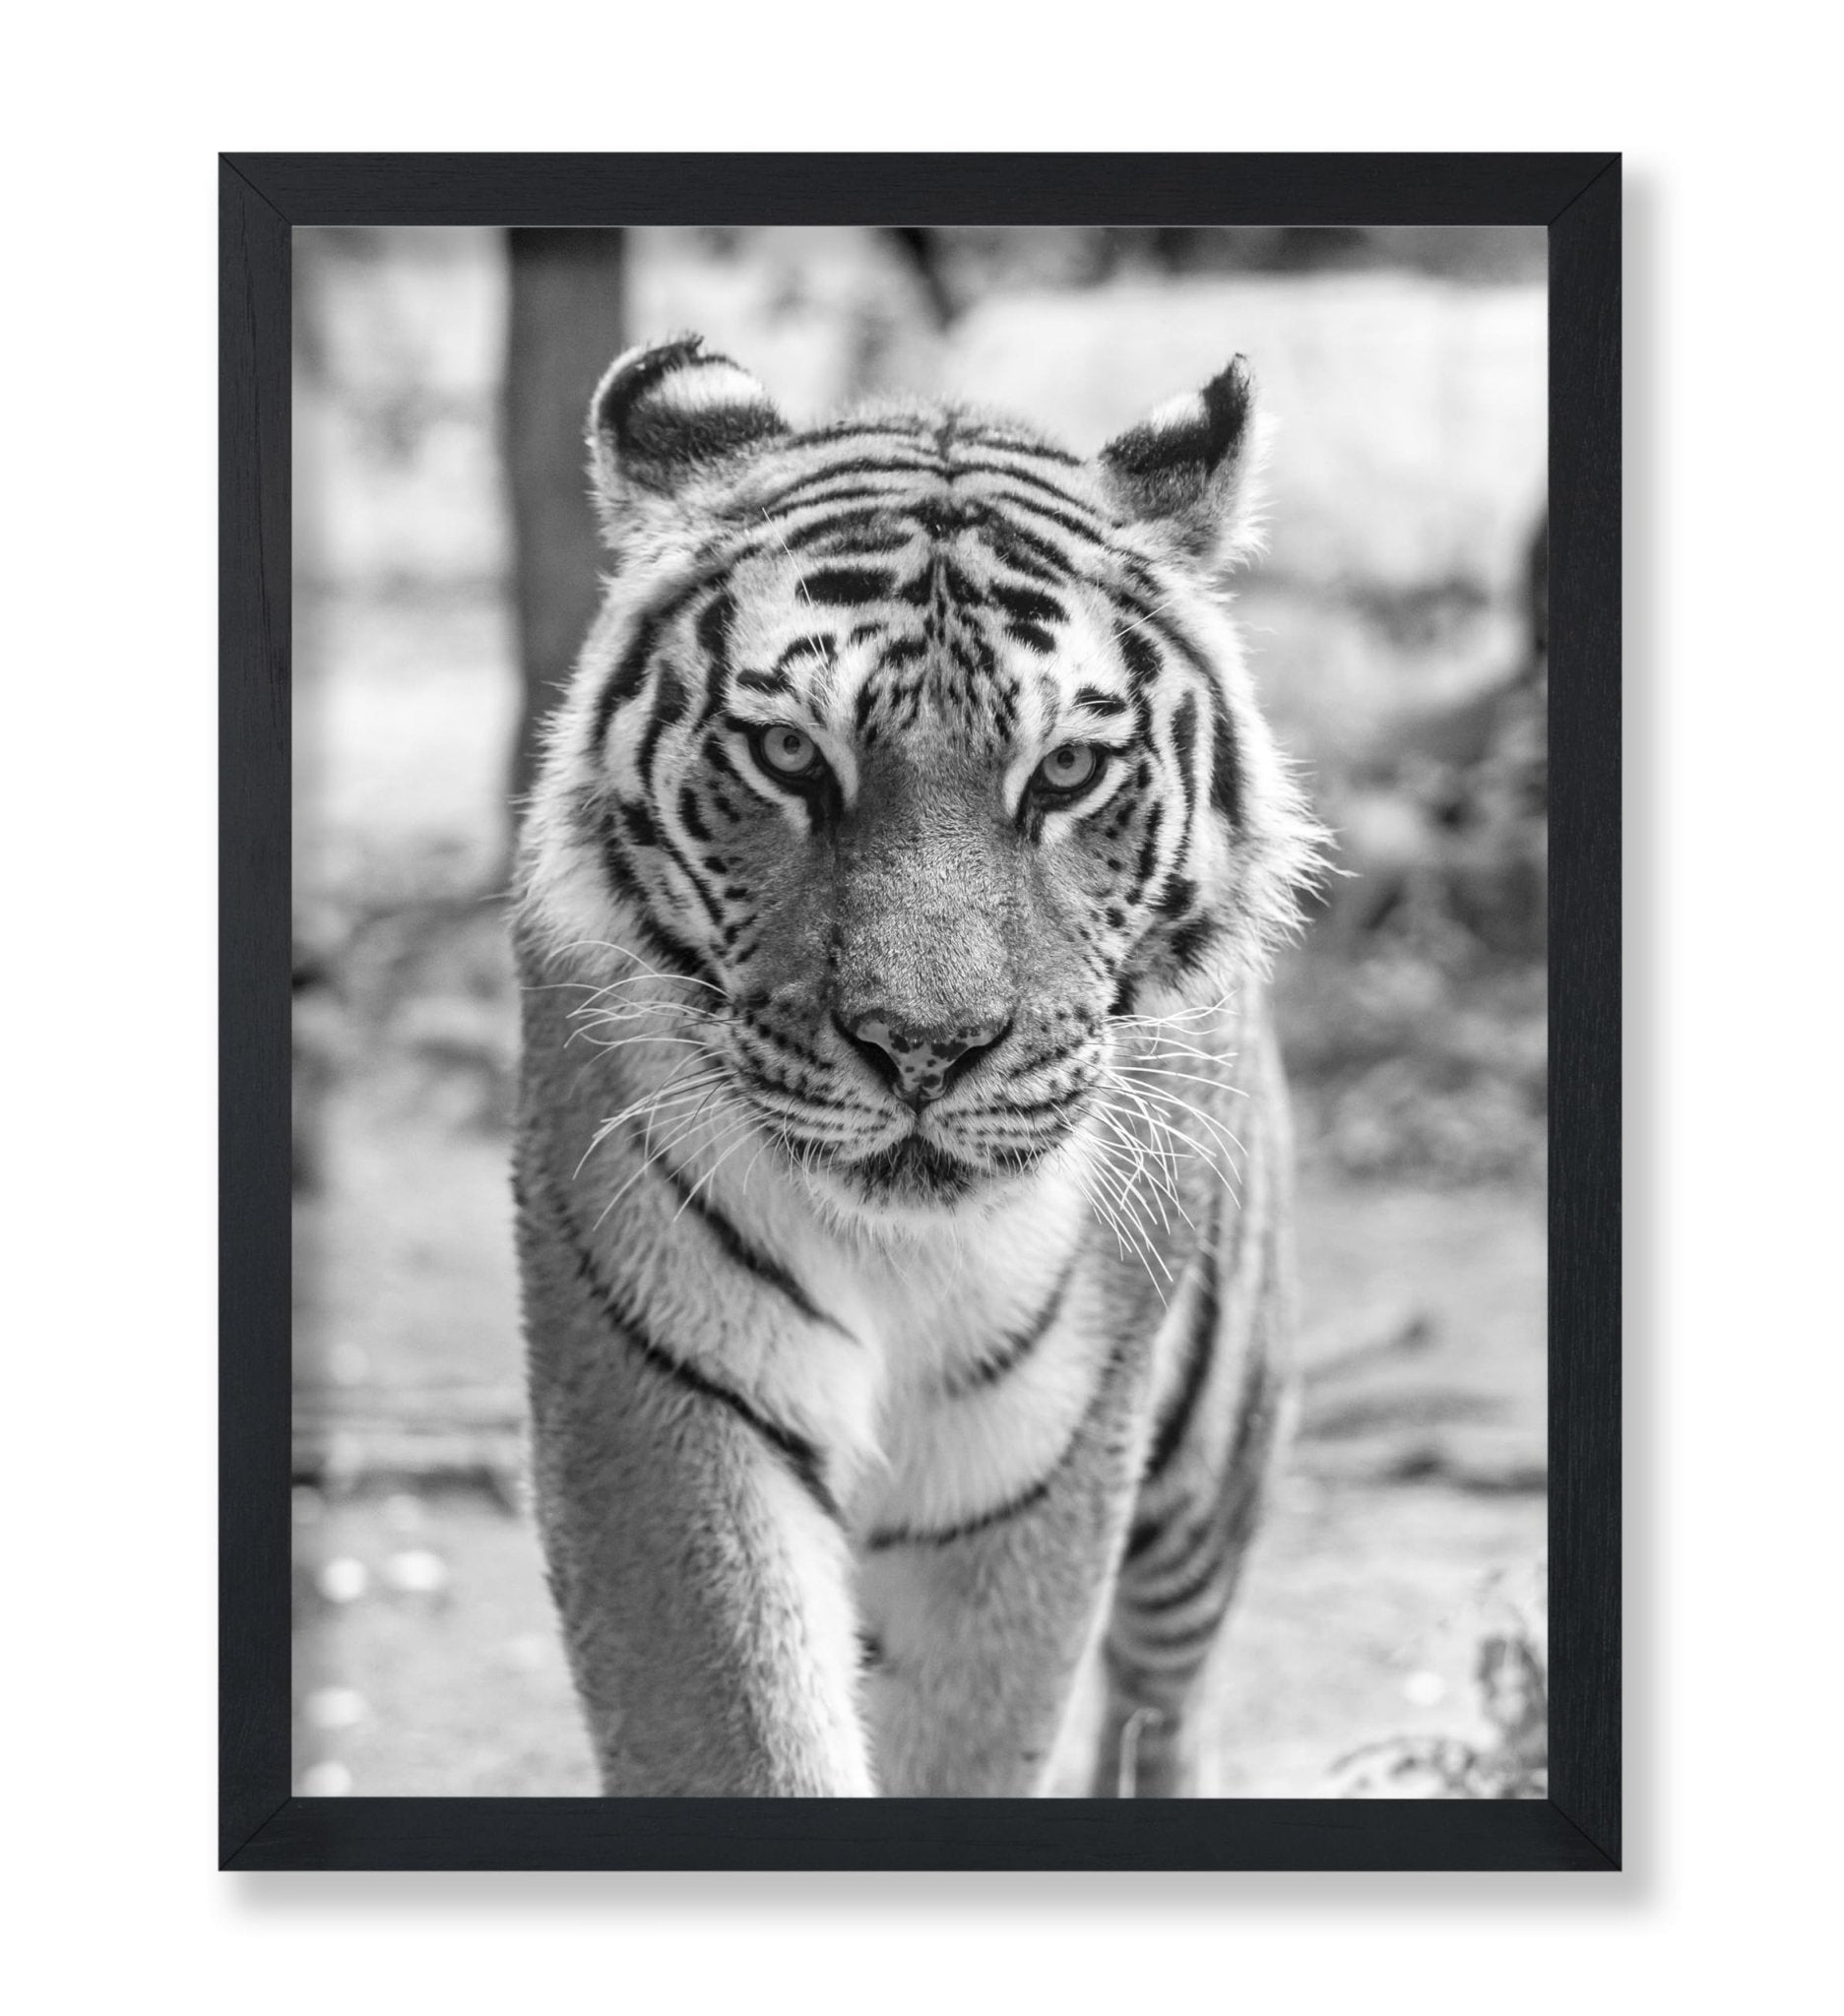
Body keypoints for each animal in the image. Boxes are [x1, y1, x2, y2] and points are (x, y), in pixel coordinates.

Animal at [512, 334, 1322, 1797]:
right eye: (789, 754)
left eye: (1065, 771)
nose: (924, 1047)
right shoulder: (665, 1392)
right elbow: (742, 1725)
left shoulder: (1034, 1453)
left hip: (1209, 1453)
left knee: (1162, 1695)